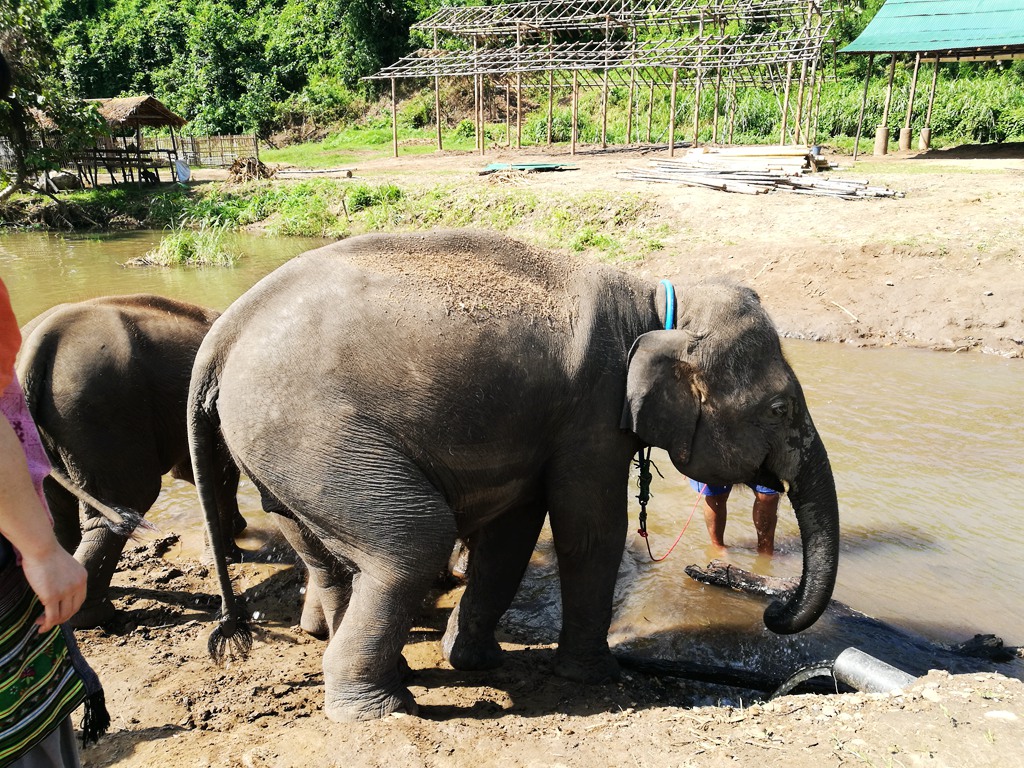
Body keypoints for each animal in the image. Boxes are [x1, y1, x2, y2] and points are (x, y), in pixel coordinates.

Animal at [16, 292, 243, 626]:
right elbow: (217, 472)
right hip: (102, 412)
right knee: (130, 498)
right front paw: (232, 553)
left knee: (57, 505)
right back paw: (93, 615)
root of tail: (33, 351)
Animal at [190, 228, 839, 720]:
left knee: (325, 553)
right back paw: (380, 710)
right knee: (412, 540)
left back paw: (382, 669)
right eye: (780, 409)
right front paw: (598, 678)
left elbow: (515, 533)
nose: (773, 612)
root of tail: (223, 334)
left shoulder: (544, 428)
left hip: (276, 455)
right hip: (310, 432)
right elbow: (589, 533)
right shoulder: (591, 415)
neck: (655, 300)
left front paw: (472, 660)